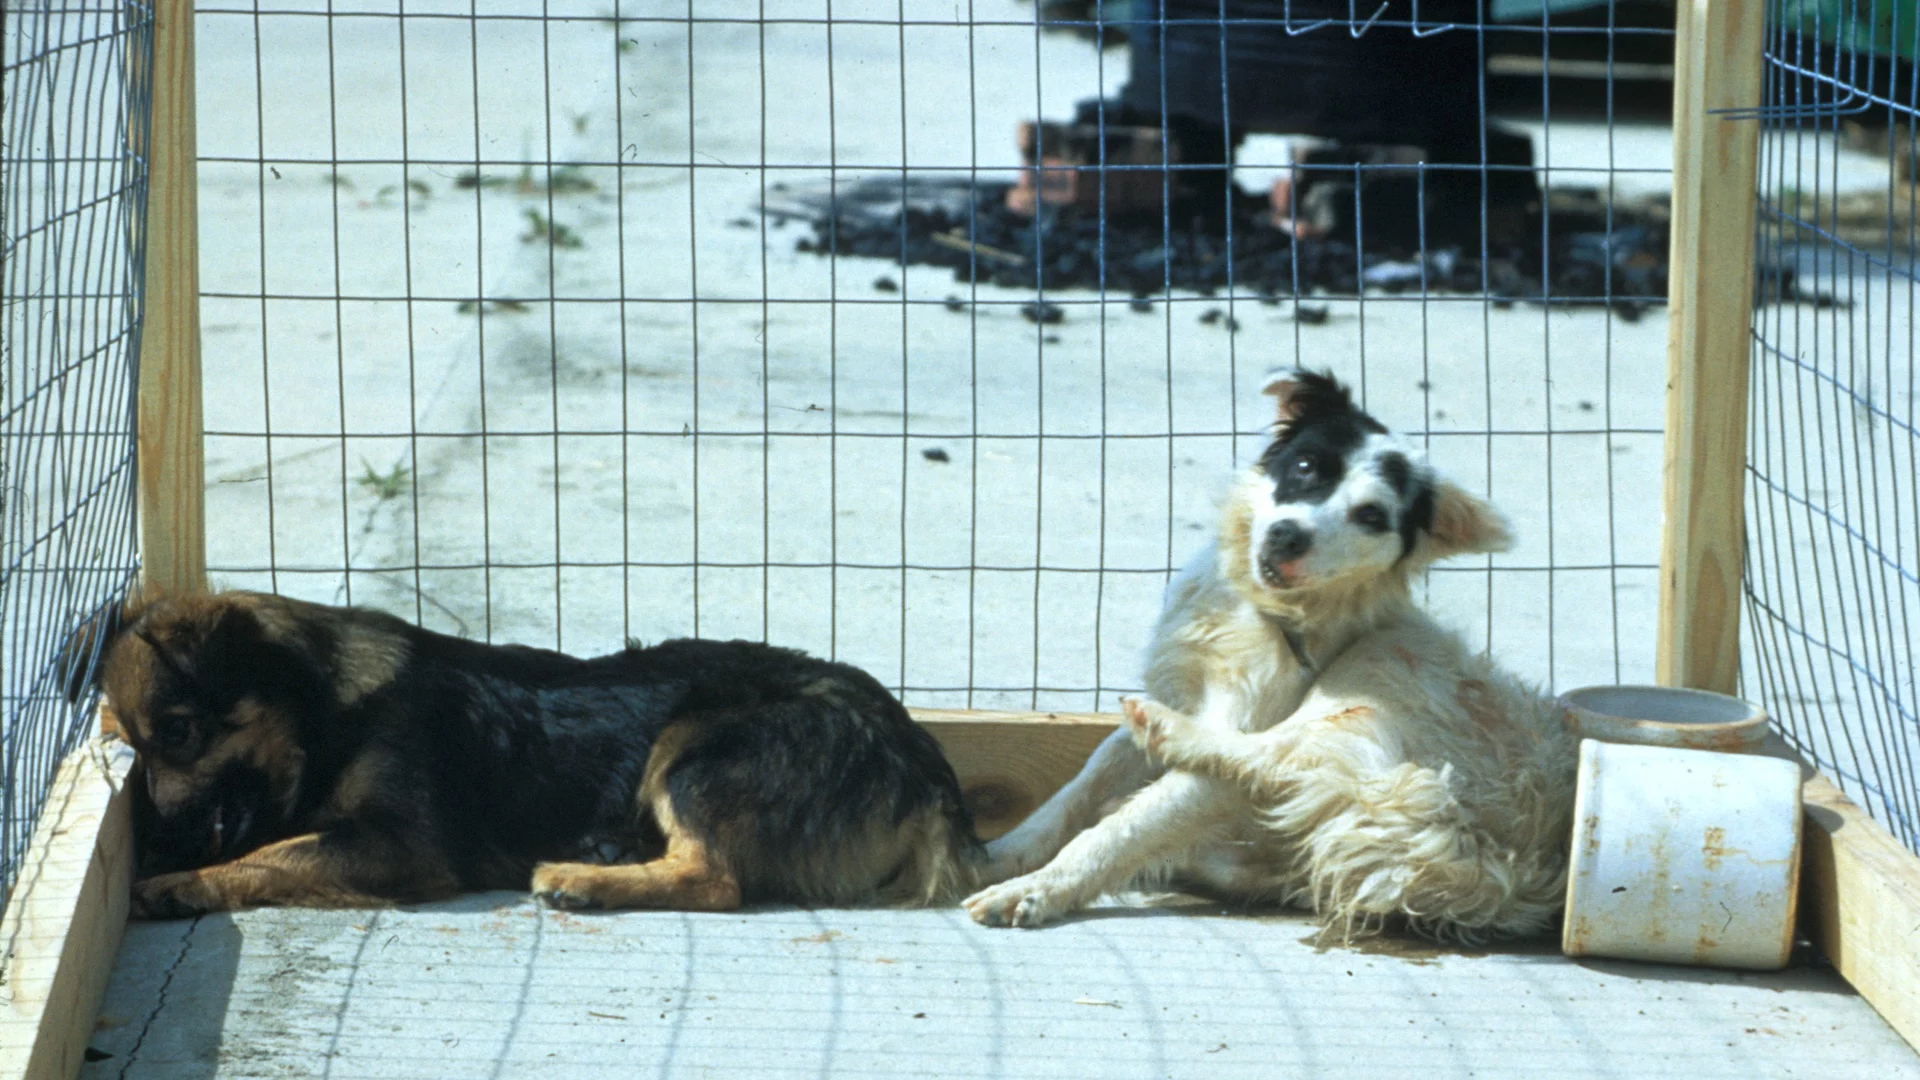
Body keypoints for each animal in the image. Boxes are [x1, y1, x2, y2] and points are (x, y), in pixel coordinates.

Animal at [72, 588, 975, 914]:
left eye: (180, 732)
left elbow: (276, 854)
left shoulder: (403, 845)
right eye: (130, 746)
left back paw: (584, 879)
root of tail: (925, 766)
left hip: (695, 749)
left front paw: (182, 882)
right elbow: (277, 843)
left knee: (715, 880)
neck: (327, 708)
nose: (159, 834)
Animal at [967, 367, 1582, 933]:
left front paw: (1036, 888)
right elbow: (1075, 793)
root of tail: (1508, 868)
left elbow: (1124, 827)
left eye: (1371, 516)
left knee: (1271, 759)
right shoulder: (1172, 691)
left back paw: (1167, 734)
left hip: (1379, 672)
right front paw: (998, 858)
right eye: (1306, 467)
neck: (1263, 614)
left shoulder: (1224, 753)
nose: (1288, 535)